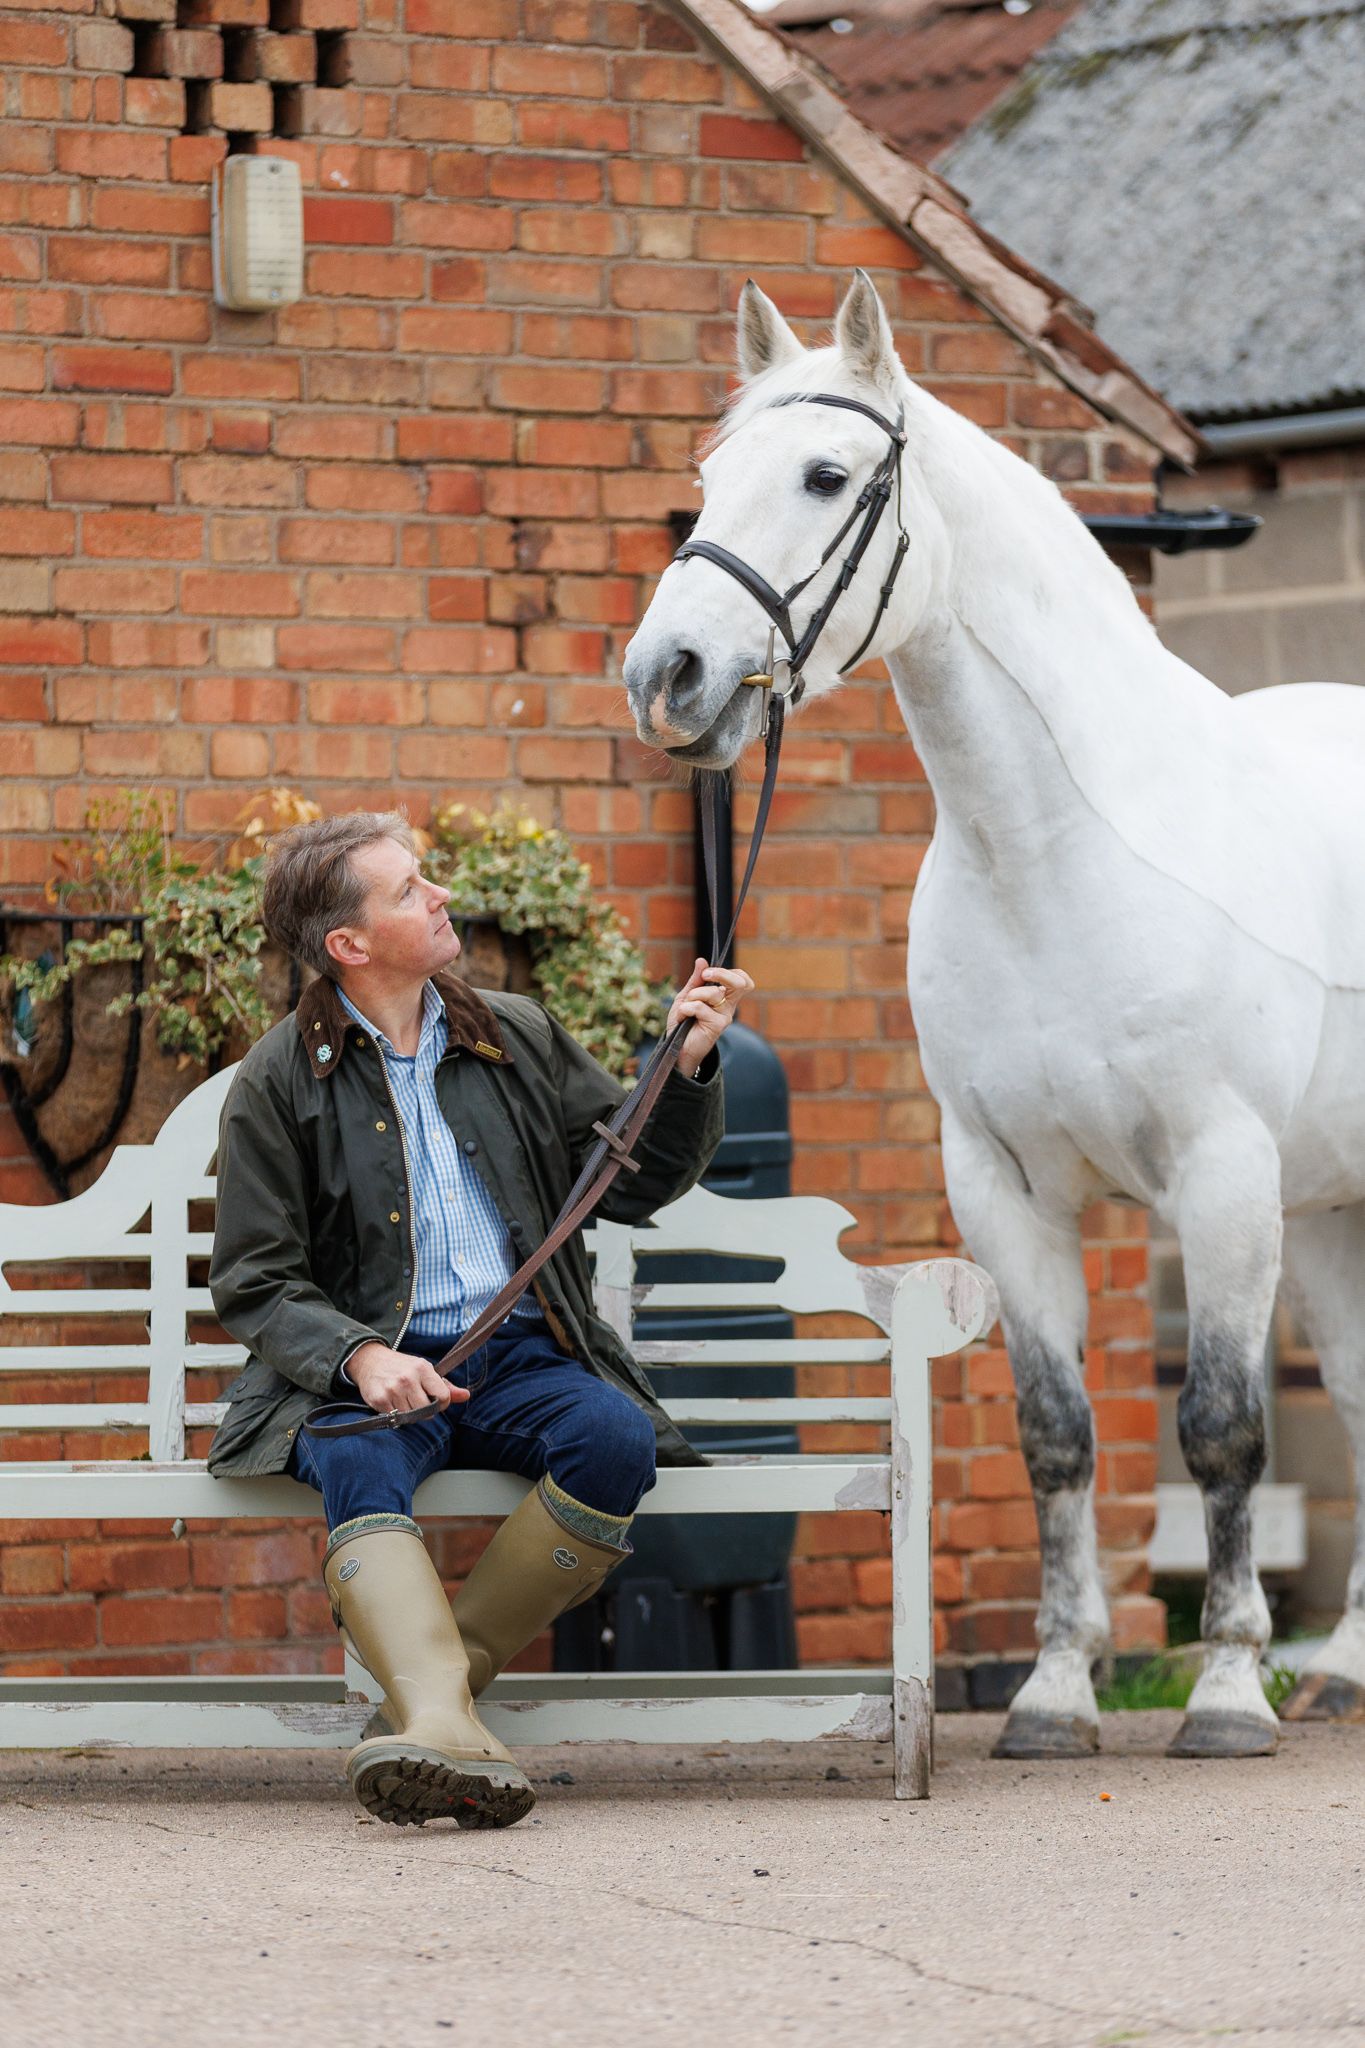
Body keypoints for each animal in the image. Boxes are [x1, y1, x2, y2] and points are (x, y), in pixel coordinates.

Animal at [621, 269, 1365, 1761]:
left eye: (826, 474)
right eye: (708, 477)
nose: (664, 674)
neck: (1062, 847)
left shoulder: (1222, 1176)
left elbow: (1218, 1425)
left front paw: (1222, 1692)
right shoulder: (1002, 1184)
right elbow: (1056, 1432)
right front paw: (1055, 1693)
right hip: (1330, 1210)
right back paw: (1347, 1669)